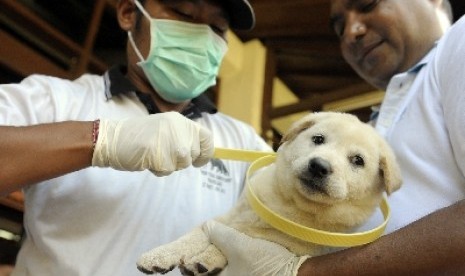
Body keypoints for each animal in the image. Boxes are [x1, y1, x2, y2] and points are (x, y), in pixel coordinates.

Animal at [136, 112, 400, 276]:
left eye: (358, 160)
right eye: (318, 139)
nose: (319, 166)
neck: (290, 208)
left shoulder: (292, 247)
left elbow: (238, 243)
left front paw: (208, 258)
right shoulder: (223, 220)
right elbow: (192, 237)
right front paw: (158, 256)